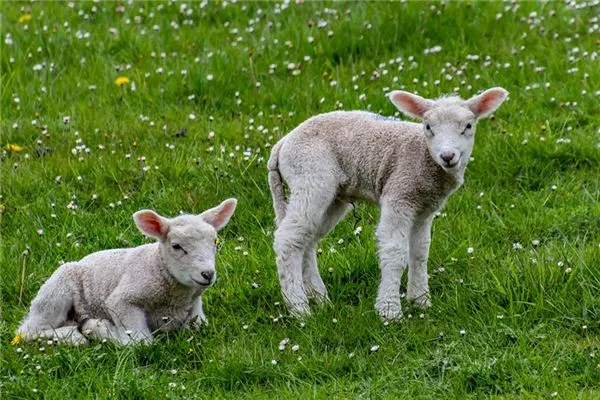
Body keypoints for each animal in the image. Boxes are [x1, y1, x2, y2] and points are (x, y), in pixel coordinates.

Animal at [16, 198, 237, 346]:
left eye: (215, 241)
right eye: (176, 246)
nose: (207, 274)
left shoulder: (195, 312)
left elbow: (198, 327)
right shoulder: (122, 300)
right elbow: (140, 342)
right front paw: (99, 329)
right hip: (57, 290)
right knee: (29, 330)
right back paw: (76, 336)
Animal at [270, 88, 508, 322]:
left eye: (468, 126)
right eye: (428, 127)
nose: (448, 156)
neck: (423, 156)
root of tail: (282, 144)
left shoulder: (425, 209)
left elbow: (420, 252)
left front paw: (421, 301)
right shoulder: (399, 196)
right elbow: (395, 252)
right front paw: (390, 311)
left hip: (333, 196)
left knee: (307, 240)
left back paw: (320, 299)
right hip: (310, 177)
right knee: (288, 239)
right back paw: (299, 308)